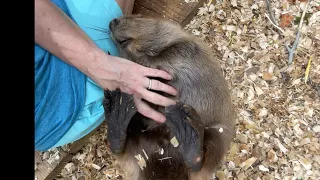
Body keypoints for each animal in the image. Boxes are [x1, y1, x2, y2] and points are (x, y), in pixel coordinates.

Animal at [104, 15, 236, 180]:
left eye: (136, 17)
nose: (112, 22)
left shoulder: (186, 48)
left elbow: (167, 55)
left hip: (218, 133)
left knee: (201, 160)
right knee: (122, 145)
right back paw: (118, 110)